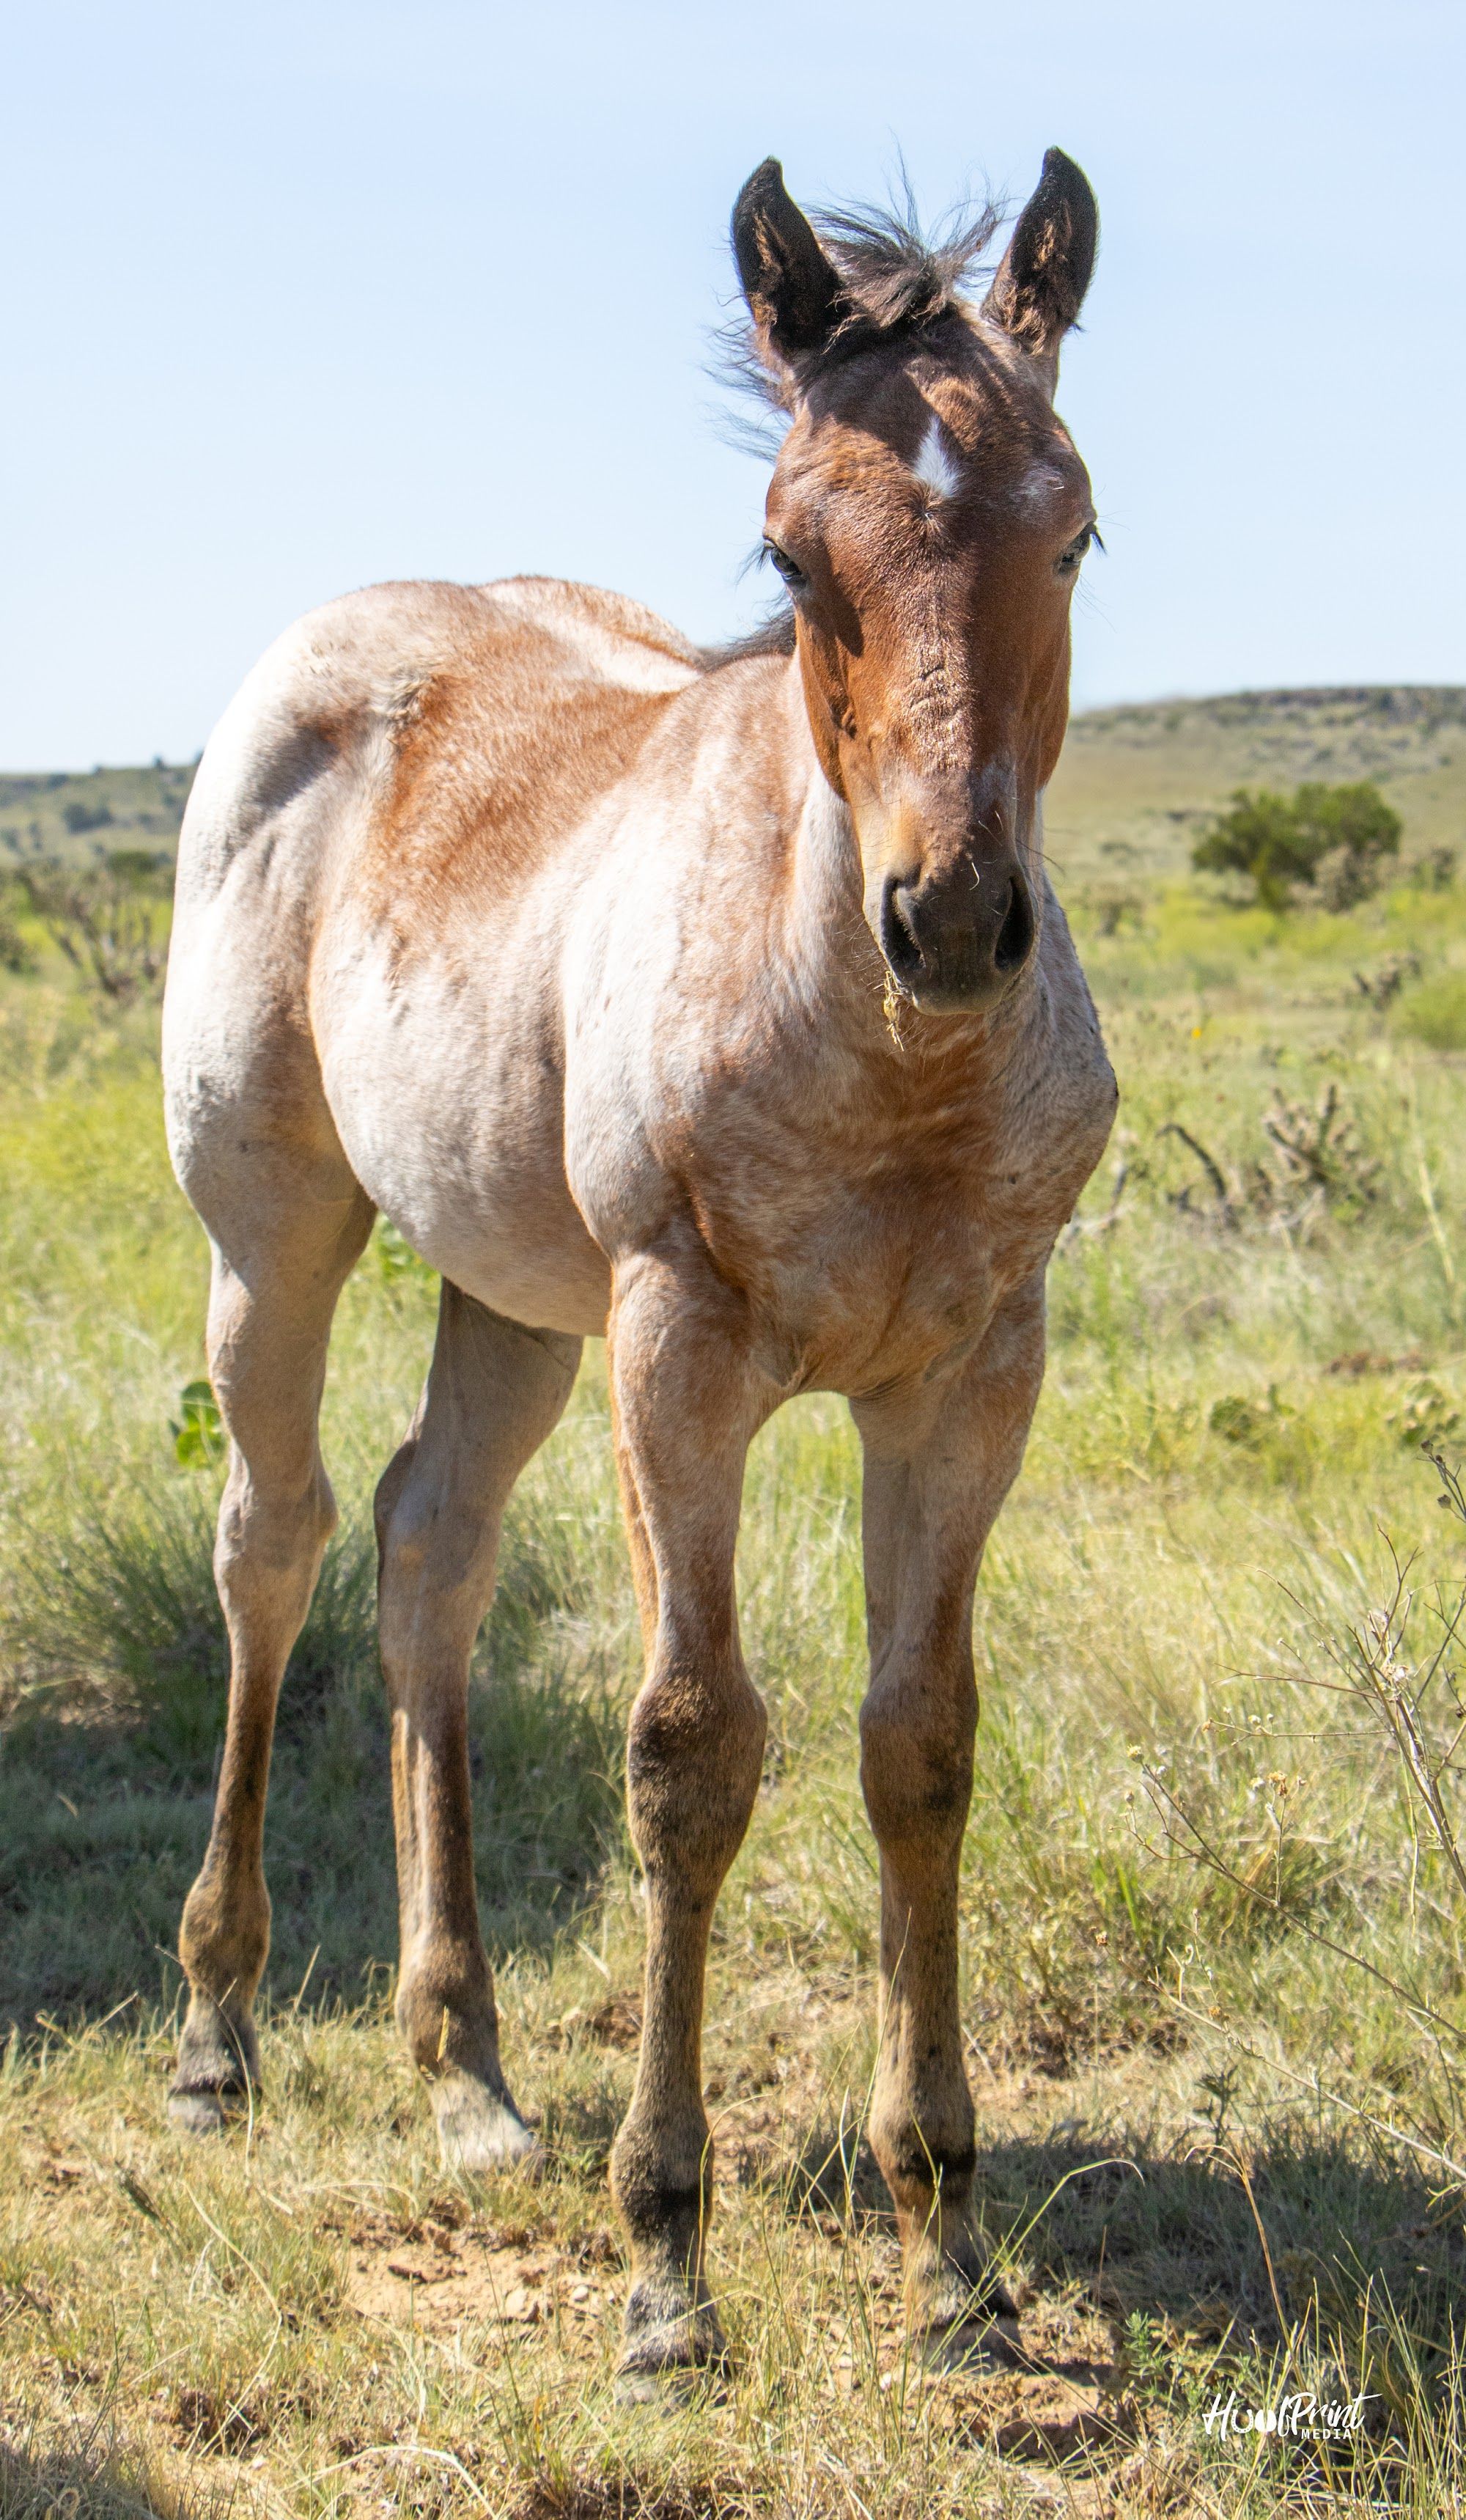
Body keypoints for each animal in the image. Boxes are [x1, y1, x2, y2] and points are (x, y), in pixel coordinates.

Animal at [160, 146, 1117, 2393]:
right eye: (788, 546)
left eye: (1076, 526)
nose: (953, 919)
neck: (890, 1068)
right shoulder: (679, 1353)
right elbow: (692, 1751)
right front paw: (668, 2264)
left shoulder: (972, 1376)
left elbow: (917, 1745)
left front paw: (953, 2245)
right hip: (279, 1236)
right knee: (274, 1541)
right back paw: (223, 2026)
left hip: (514, 1300)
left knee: (427, 1550)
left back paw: (466, 2071)